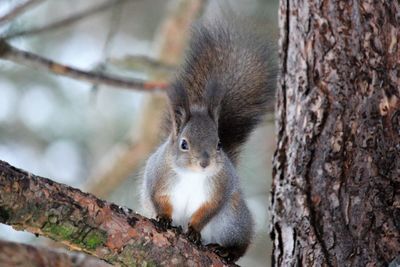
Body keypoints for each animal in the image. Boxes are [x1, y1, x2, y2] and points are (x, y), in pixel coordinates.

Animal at [140, 19, 276, 262]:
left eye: (219, 144)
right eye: (183, 144)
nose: (205, 163)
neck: (192, 175)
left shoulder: (220, 188)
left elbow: (207, 211)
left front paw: (194, 231)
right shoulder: (157, 177)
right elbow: (158, 199)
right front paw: (164, 218)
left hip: (232, 219)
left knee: (242, 243)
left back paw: (228, 250)